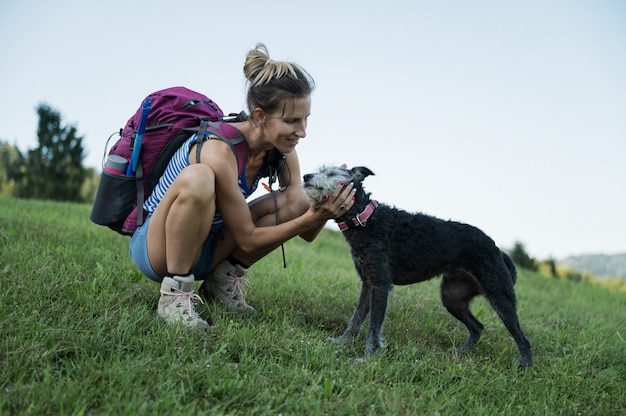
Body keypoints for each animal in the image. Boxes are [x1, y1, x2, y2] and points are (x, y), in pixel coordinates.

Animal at [302, 166, 532, 368]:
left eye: (331, 173)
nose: (306, 176)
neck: (366, 219)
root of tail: (497, 249)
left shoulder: (381, 285)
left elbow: (373, 327)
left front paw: (368, 357)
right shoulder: (368, 284)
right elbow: (356, 318)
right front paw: (342, 342)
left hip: (500, 297)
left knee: (523, 339)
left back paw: (526, 366)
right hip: (452, 297)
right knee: (477, 327)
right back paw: (461, 352)